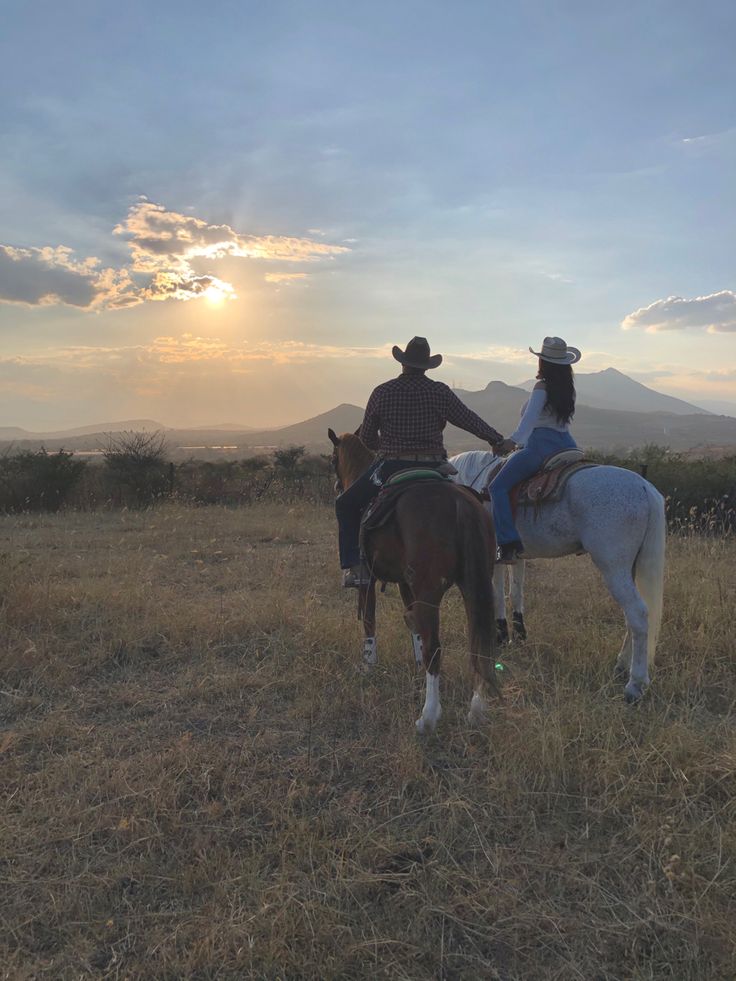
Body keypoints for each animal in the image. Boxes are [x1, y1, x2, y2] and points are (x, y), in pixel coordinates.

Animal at [328, 426, 500, 728]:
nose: (338, 487)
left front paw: (368, 663)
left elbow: (370, 620)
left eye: (333, 459)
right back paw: (476, 709)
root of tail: (459, 504)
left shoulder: (368, 581)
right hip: (475, 583)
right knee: (479, 642)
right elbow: (413, 625)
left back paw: (429, 715)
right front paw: (416, 662)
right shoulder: (405, 584)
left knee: (436, 647)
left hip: (429, 588)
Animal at [448, 448, 668, 700]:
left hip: (614, 568)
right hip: (629, 568)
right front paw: (518, 635)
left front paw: (501, 636)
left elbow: (497, 594)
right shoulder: (515, 555)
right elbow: (515, 592)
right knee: (631, 617)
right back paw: (622, 665)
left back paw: (635, 685)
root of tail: (643, 486)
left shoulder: (493, 556)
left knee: (638, 614)